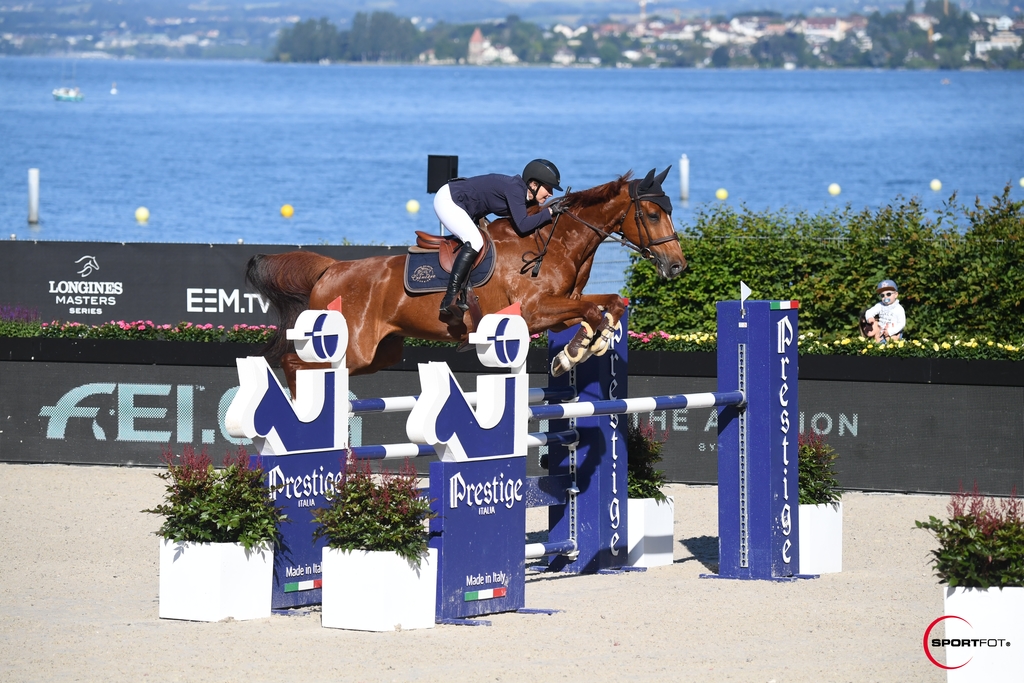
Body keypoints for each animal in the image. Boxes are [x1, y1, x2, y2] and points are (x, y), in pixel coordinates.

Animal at [243, 166, 684, 389]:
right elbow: (594, 311)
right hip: (350, 347)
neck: (552, 242)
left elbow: (607, 306)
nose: (677, 265)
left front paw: (576, 351)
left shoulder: (561, 308)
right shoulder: (534, 312)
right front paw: (578, 351)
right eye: (652, 214)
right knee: (293, 362)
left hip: (379, 353)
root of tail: (331, 269)